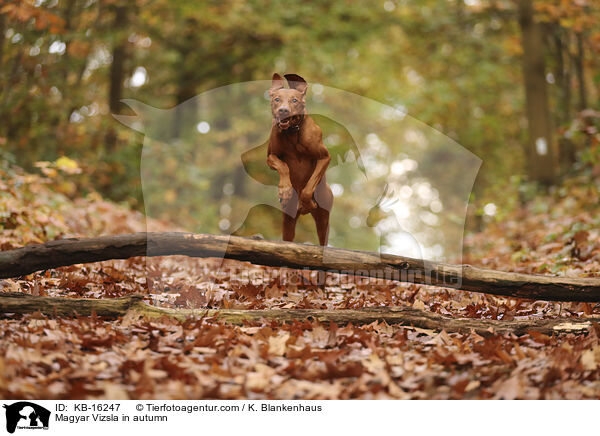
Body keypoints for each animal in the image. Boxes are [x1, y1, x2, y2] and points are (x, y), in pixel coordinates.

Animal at [268, 73, 332, 247]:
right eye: (277, 99)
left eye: (294, 100)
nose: (283, 110)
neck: (291, 132)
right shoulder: (270, 156)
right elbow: (283, 166)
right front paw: (285, 190)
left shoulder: (324, 157)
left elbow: (307, 189)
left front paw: (307, 203)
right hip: (288, 220)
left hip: (324, 218)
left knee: (323, 239)